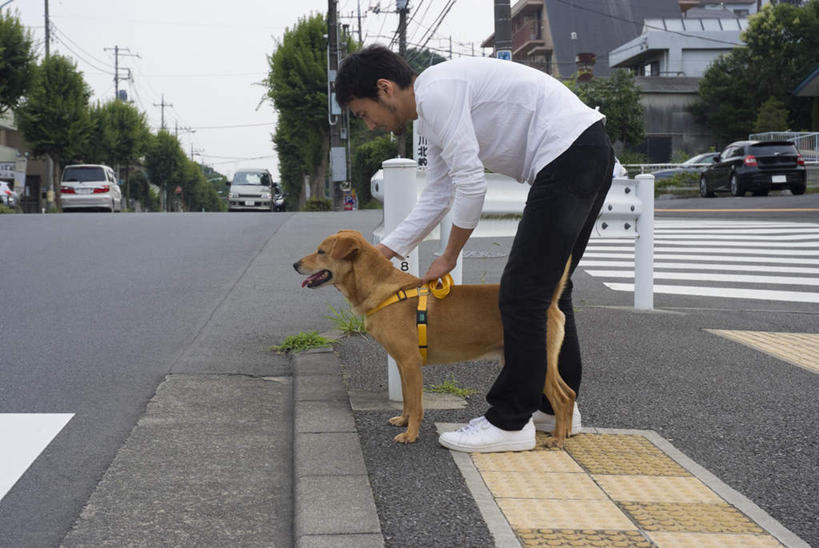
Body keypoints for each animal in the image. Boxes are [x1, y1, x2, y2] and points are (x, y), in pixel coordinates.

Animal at [294, 229, 576, 448]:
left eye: (321, 251)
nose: (295, 264)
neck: (382, 289)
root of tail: (550, 302)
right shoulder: (402, 363)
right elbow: (407, 399)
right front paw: (403, 420)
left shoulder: (410, 362)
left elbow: (417, 403)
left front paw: (411, 434)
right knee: (570, 393)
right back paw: (566, 432)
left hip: (538, 360)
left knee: (562, 398)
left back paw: (558, 439)